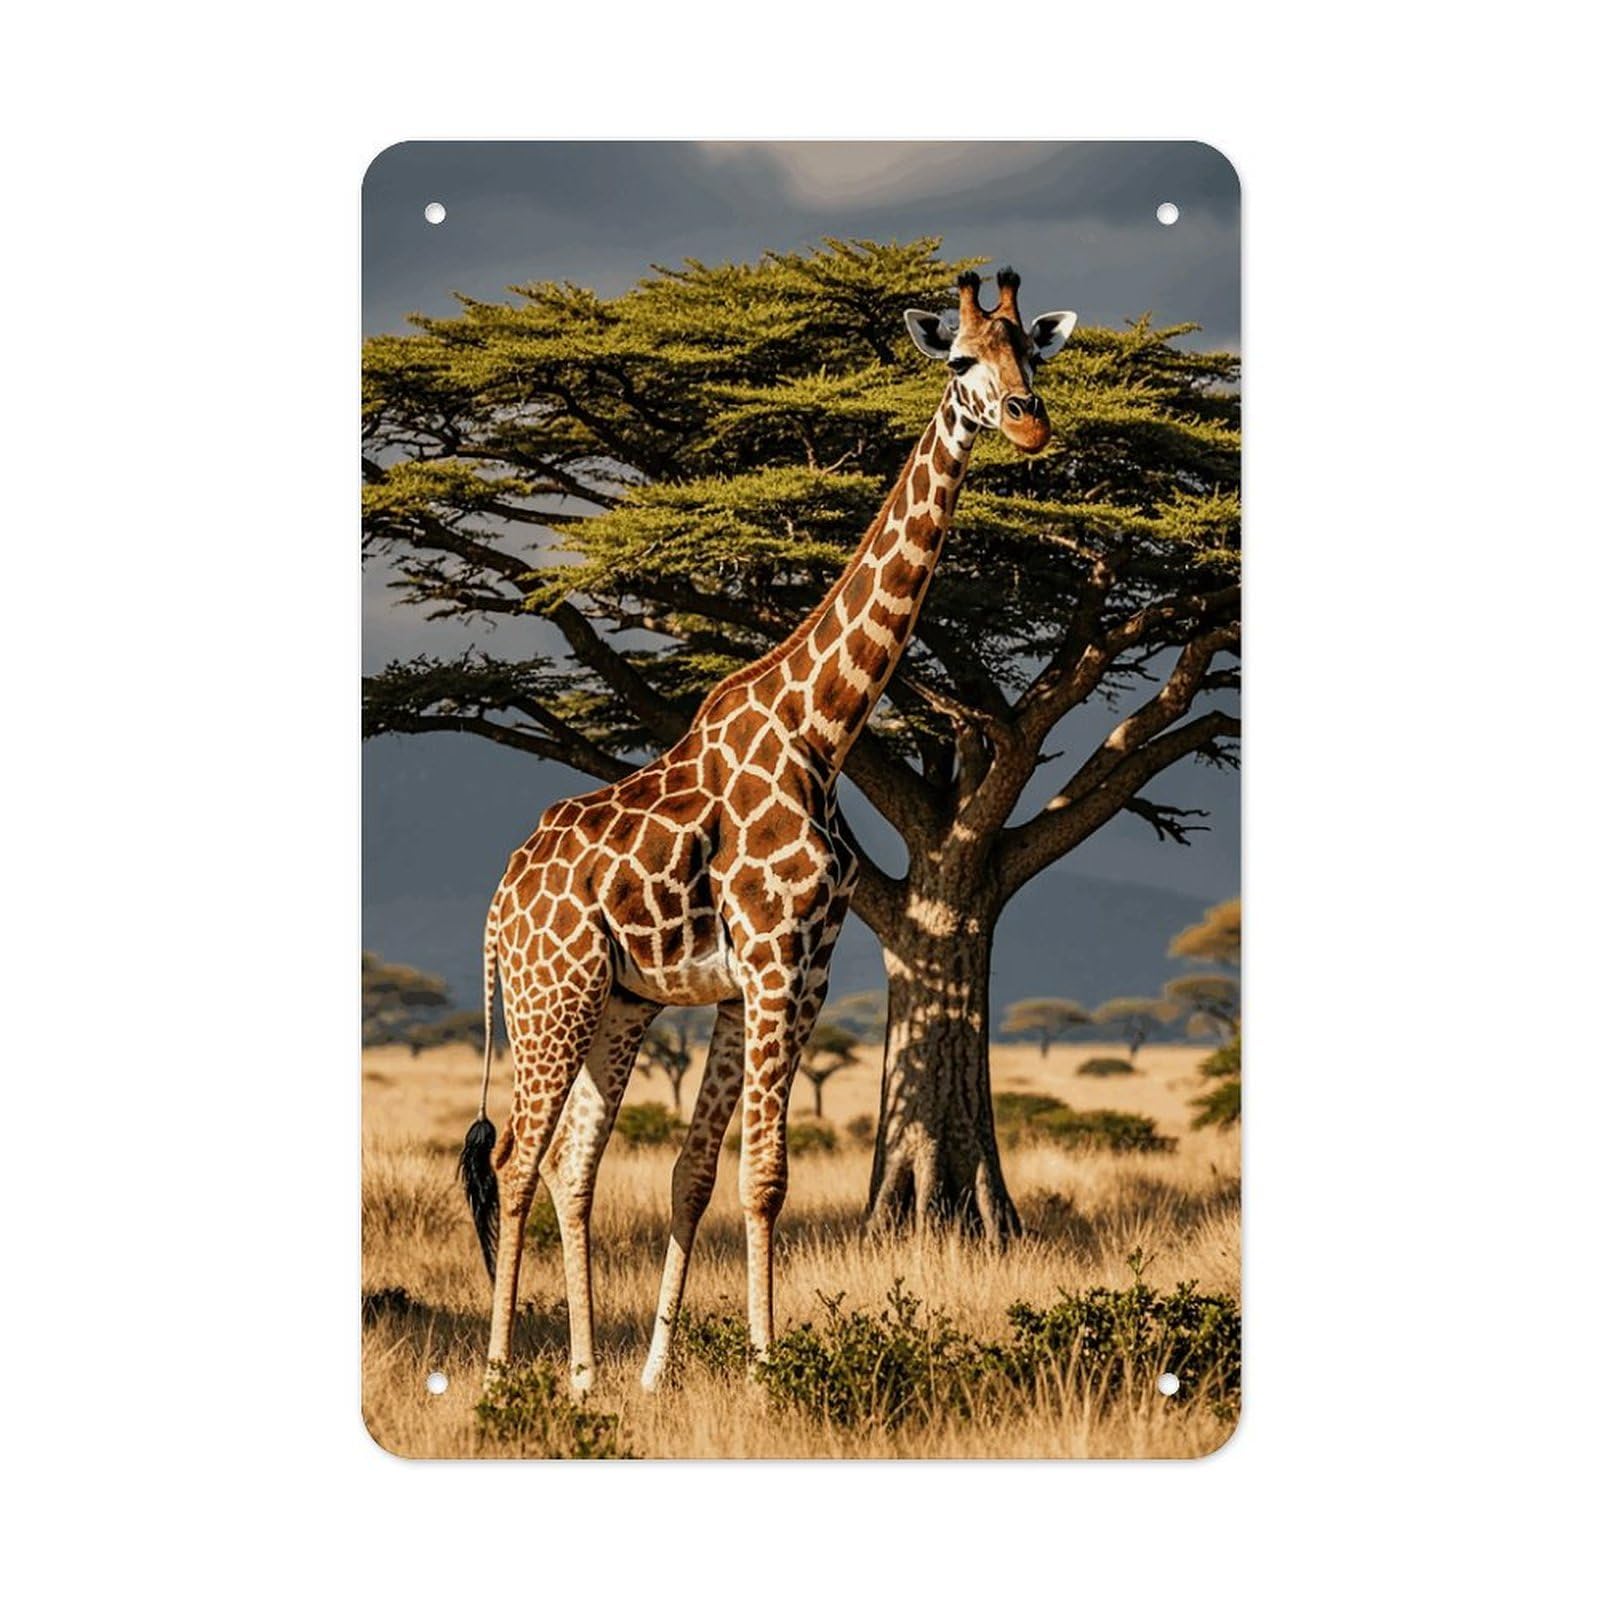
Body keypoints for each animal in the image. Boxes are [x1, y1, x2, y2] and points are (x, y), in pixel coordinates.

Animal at [458, 267, 1079, 1393]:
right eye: (959, 360)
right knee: (516, 1159)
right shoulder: (776, 959)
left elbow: (696, 1174)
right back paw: (497, 1375)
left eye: (1032, 353)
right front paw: (767, 1367)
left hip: (618, 1002)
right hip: (549, 995)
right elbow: (765, 1177)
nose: (1029, 422)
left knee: (572, 1163)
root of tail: (496, 908)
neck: (821, 729)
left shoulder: (782, 973)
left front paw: (661, 1373)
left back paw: (582, 1373)